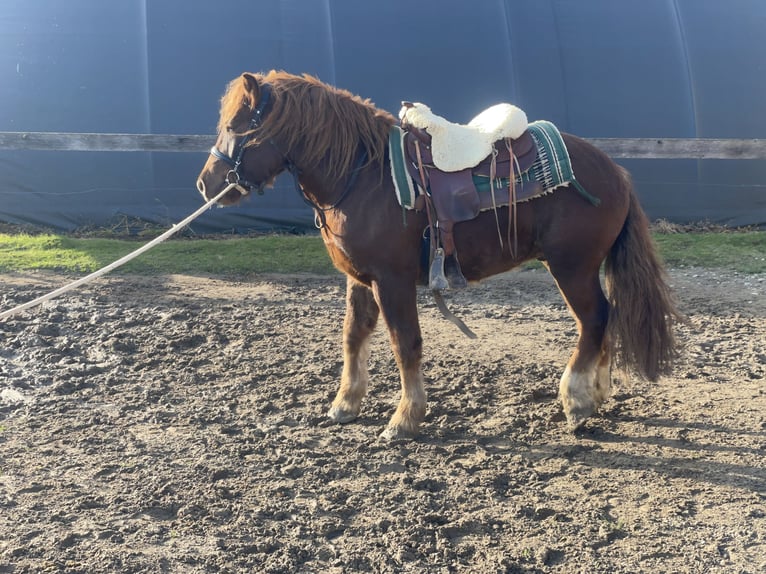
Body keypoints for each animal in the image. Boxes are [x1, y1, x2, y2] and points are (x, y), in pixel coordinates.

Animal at [195, 72, 680, 440]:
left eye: (236, 127)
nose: (206, 184)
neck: (363, 175)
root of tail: (614, 171)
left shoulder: (392, 280)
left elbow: (404, 343)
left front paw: (405, 418)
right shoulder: (359, 278)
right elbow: (354, 335)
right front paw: (346, 403)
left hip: (571, 267)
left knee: (594, 319)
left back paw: (576, 399)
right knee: (604, 318)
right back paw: (597, 393)